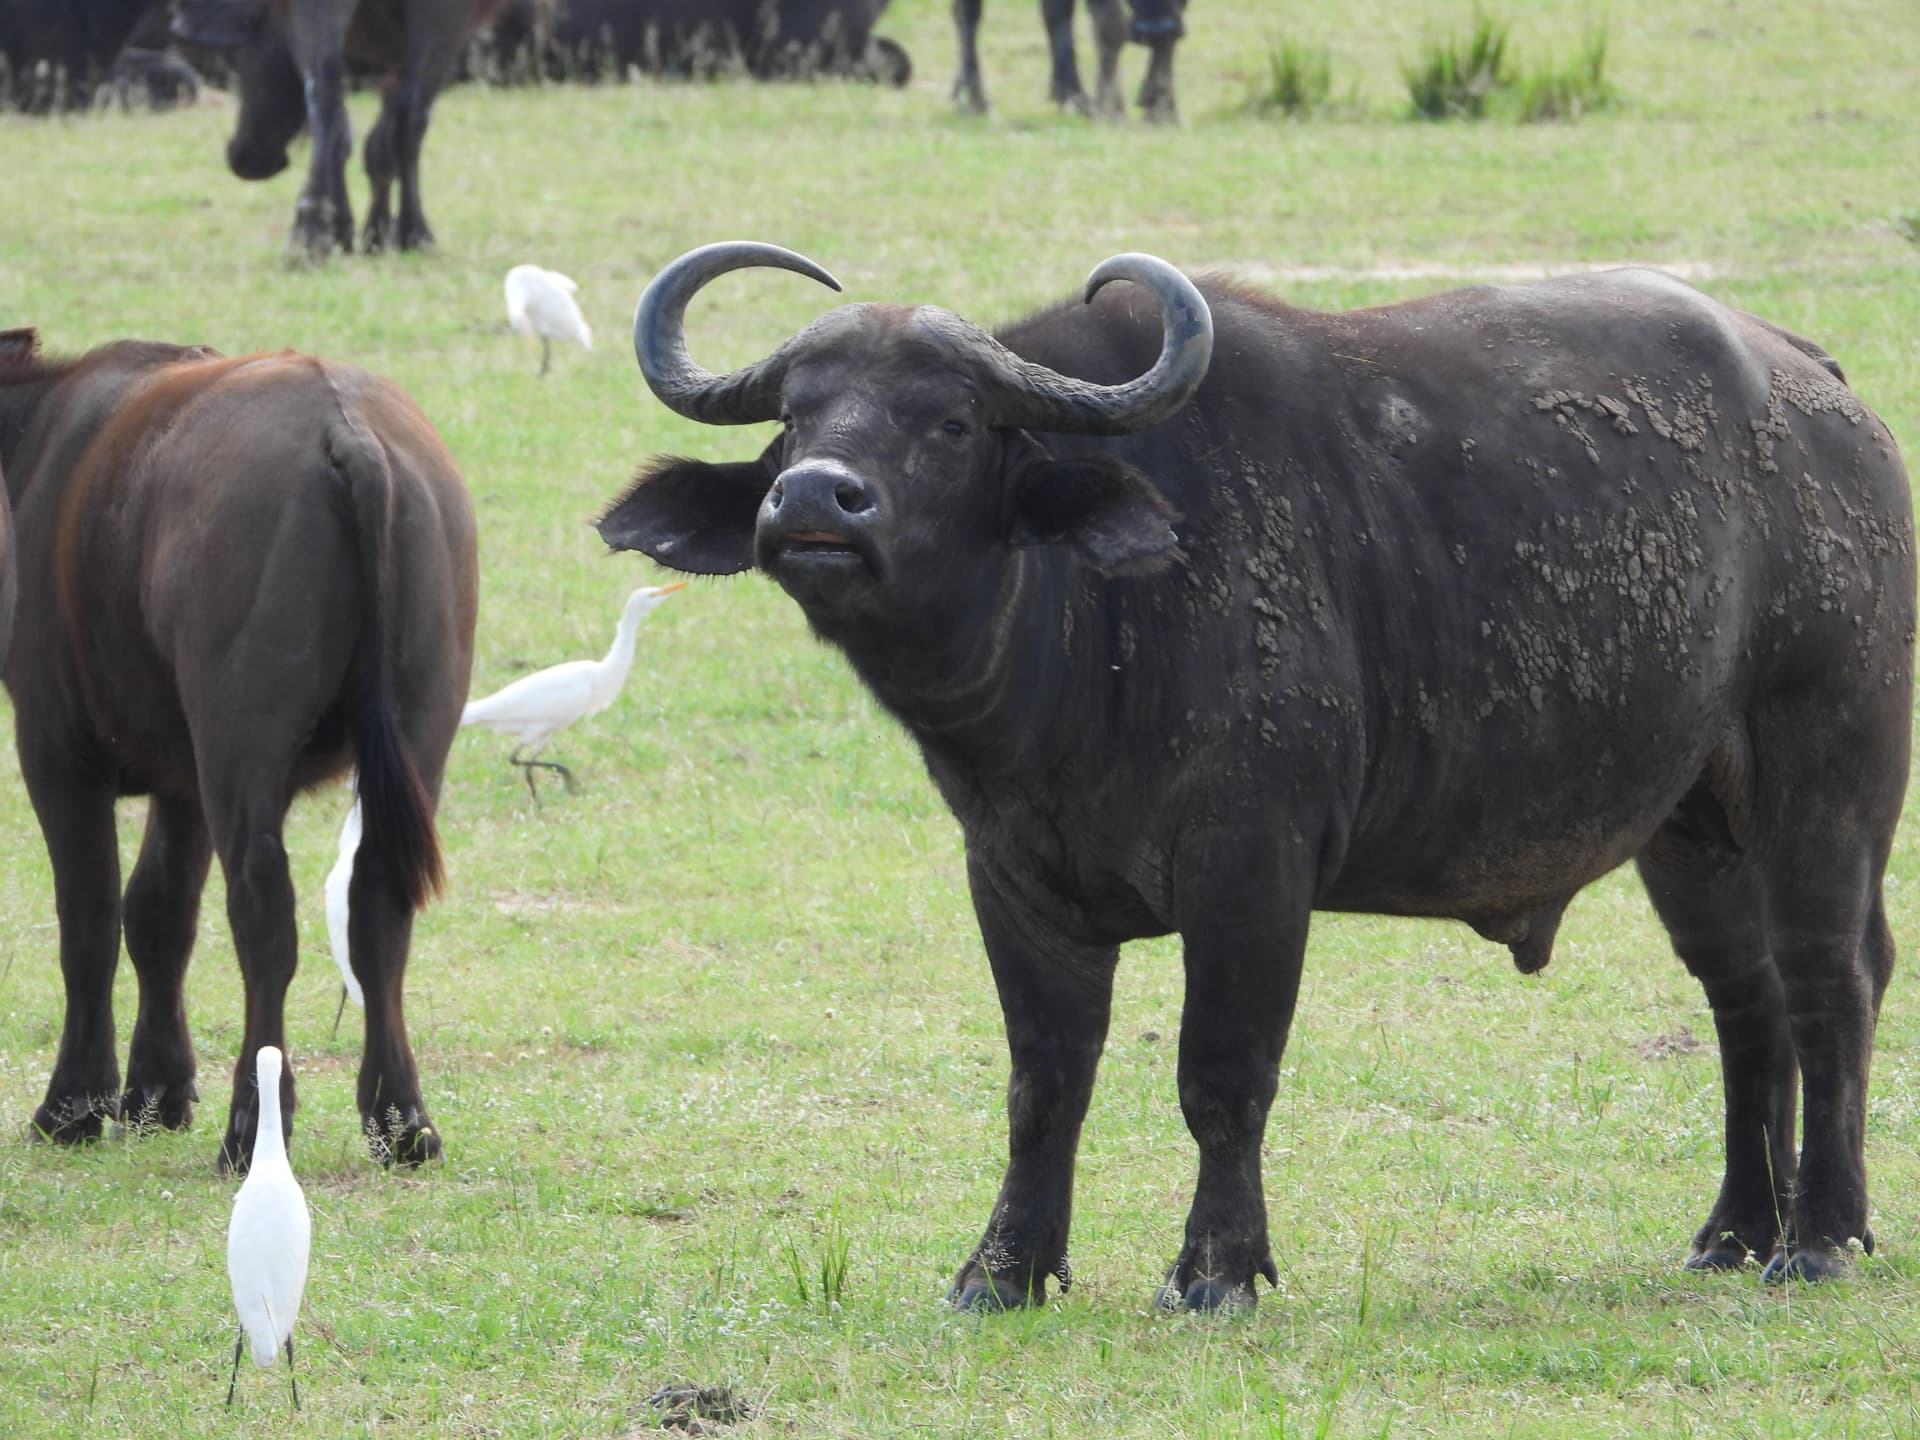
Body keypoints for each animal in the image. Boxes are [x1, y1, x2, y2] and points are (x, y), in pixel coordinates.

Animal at [0, 326, 478, 1172]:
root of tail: (348, 432)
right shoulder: (180, 782)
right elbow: (157, 914)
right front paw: (156, 1091)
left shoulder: (57, 751)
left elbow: (89, 919)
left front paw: (74, 1105)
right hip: (420, 727)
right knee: (377, 904)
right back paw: (400, 1119)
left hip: (239, 741)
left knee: (263, 911)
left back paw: (252, 1126)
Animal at [172, 0, 508, 259]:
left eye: (243, 56)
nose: (244, 160)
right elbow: (377, 140)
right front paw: (370, 230)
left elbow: (372, 141)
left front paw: (360, 229)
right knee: (388, 107)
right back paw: (402, 231)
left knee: (329, 91)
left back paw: (314, 232)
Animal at [597, 242, 1914, 1310]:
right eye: (794, 421)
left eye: (954, 423)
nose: (813, 501)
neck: (1083, 642)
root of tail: (1824, 394)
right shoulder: (1014, 883)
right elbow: (1043, 1085)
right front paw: (1003, 1270)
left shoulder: (1252, 874)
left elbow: (1222, 1078)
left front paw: (1217, 1270)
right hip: (1689, 826)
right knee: (1745, 1001)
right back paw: (1735, 1232)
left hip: (1827, 779)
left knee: (1830, 980)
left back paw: (1822, 1238)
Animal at [951, 0, 1183, 122]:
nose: (1155, 28)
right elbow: (1111, 28)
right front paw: (1112, 110)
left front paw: (1163, 111)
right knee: (967, 15)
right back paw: (976, 101)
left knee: (1055, 13)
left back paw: (1071, 96)